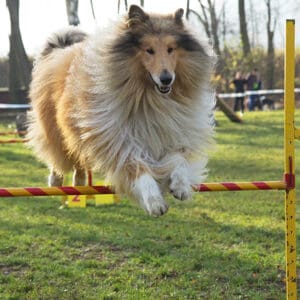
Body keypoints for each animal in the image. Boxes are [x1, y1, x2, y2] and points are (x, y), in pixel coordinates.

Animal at [27, 4, 216, 216]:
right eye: (149, 50)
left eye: (170, 49)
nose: (166, 79)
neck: (148, 97)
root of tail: (62, 48)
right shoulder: (118, 139)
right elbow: (138, 168)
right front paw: (154, 201)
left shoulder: (170, 132)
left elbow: (179, 159)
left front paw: (181, 186)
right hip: (58, 129)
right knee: (60, 155)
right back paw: (57, 181)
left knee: (79, 159)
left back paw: (79, 184)